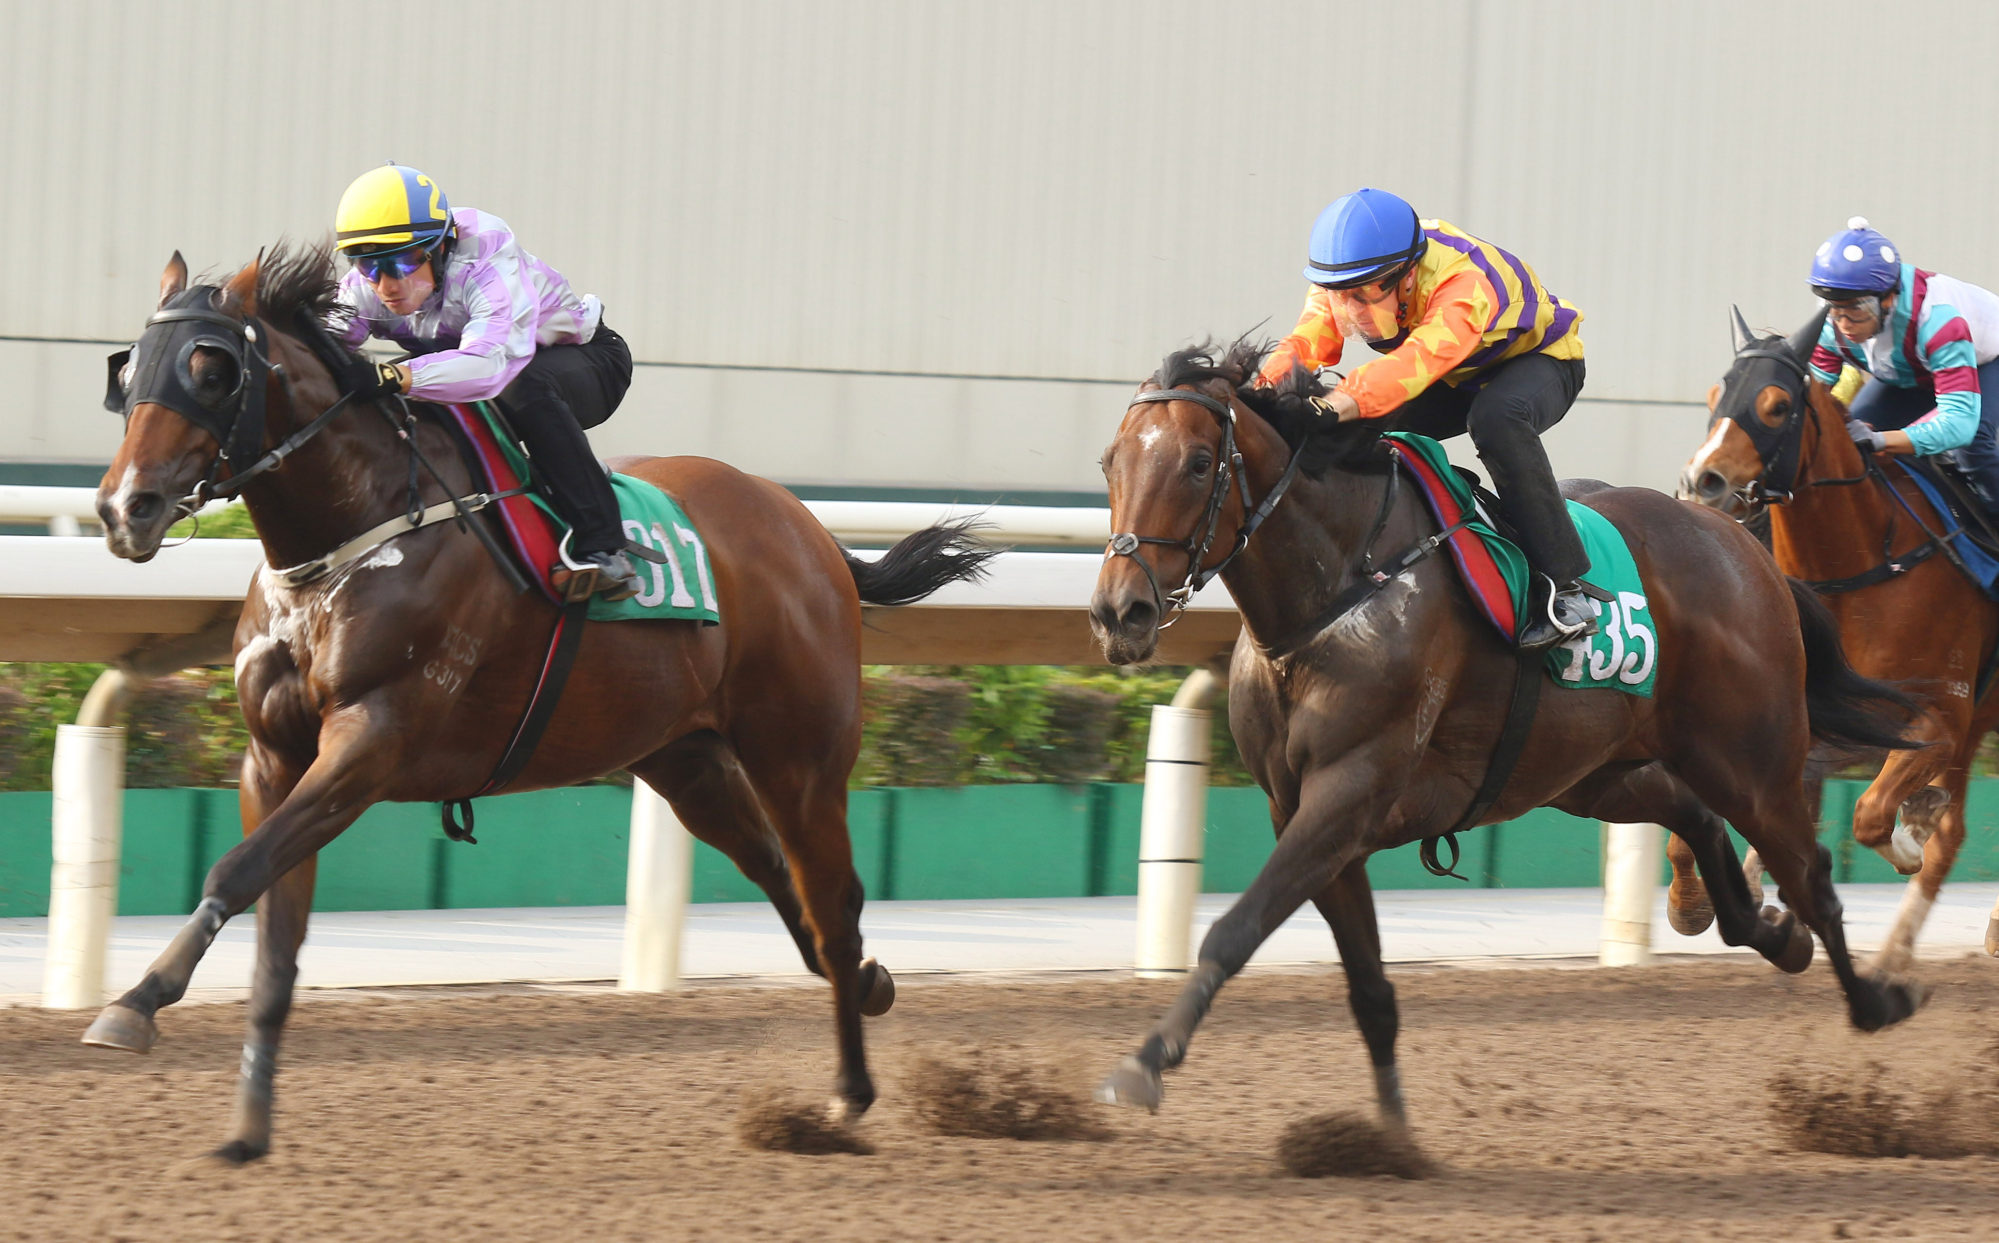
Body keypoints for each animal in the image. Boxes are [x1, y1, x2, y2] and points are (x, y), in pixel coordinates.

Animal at [85, 245, 991, 1167]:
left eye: (209, 369)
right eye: (130, 368)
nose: (126, 508)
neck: (356, 531)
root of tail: (810, 531)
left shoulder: (373, 740)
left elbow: (234, 871)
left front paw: (134, 1001)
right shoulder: (275, 756)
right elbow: (273, 933)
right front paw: (245, 1128)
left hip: (798, 754)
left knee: (830, 898)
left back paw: (850, 1089)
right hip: (686, 762)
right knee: (787, 884)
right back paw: (870, 984)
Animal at [1095, 343, 1919, 1127]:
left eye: (1199, 463)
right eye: (1111, 462)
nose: (1118, 612)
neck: (1340, 589)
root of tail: (1748, 549)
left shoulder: (1348, 793)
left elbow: (1235, 930)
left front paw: (1143, 1063)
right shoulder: (1303, 810)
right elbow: (1368, 986)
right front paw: (1392, 1136)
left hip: (1750, 760)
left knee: (1810, 874)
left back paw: (1875, 999)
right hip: (1591, 773)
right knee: (1697, 817)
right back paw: (1771, 933)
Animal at [1679, 307, 1999, 971]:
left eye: (1777, 406)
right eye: (1717, 396)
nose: (1702, 480)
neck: (1862, 569)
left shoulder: (1938, 719)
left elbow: (1873, 815)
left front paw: (1909, 837)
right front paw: (1699, 900)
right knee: (1952, 834)